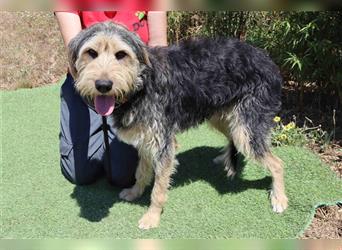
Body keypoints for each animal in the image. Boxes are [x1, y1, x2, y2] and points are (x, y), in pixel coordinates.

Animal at [68, 22, 288, 229]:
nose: (103, 85)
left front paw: (152, 217)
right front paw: (135, 192)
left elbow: (158, 189)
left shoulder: (163, 143)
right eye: (91, 53)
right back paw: (223, 158)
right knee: (232, 137)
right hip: (222, 117)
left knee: (277, 163)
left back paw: (279, 198)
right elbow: (141, 171)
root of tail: (268, 60)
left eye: (121, 54)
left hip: (246, 129)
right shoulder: (145, 139)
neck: (141, 84)